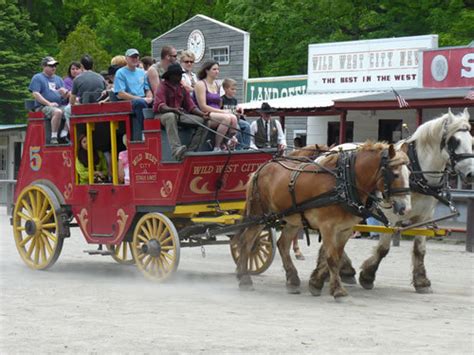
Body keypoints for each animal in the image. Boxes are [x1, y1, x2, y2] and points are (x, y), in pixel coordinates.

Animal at [237, 142, 412, 300]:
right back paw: (245, 278)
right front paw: (338, 290)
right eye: (395, 174)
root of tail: (261, 169)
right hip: (259, 215)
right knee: (246, 242)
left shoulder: (345, 229)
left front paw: (316, 283)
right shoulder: (327, 227)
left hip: (293, 220)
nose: (405, 208)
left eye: (409, 174)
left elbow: (337, 256)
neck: (343, 184)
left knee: (282, 244)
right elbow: (331, 257)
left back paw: (292, 280)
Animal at [316, 108, 472, 294]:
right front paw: (368, 276)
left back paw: (340, 270)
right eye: (454, 141)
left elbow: (420, 249)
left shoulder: (425, 216)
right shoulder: (390, 216)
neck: (417, 173)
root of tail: (327, 153)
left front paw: (422, 281)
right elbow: (383, 248)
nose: (471, 174)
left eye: (472, 141)